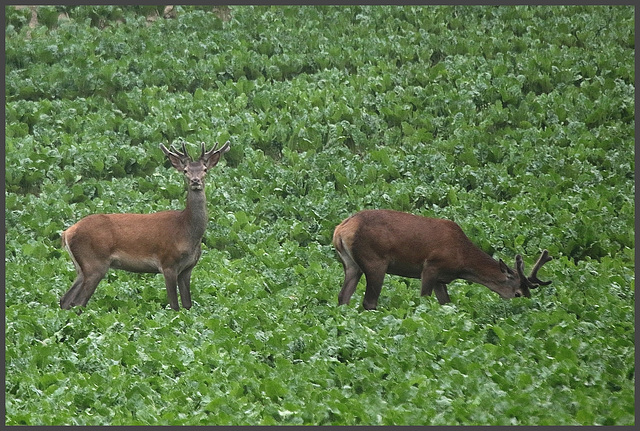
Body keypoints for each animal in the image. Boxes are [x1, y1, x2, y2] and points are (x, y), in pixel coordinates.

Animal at [60, 142, 230, 310]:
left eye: (205, 169)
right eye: (186, 170)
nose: (195, 181)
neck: (186, 231)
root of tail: (67, 233)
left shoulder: (187, 268)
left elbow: (187, 305)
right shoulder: (167, 263)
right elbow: (174, 305)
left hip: (81, 268)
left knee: (65, 300)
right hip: (94, 262)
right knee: (78, 302)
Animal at [332, 210, 552, 308]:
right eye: (518, 293)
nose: (529, 306)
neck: (462, 260)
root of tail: (341, 230)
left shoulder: (441, 279)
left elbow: (446, 302)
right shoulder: (431, 266)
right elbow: (424, 298)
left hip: (351, 264)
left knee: (343, 296)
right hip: (375, 261)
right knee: (369, 301)